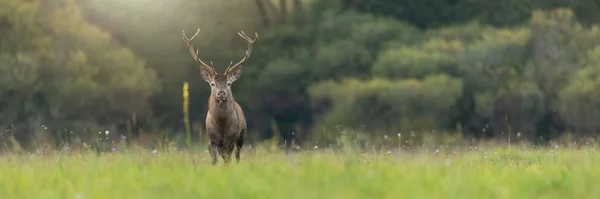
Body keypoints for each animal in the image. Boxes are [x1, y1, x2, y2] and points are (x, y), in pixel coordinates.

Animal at [182, 28, 258, 165]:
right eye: (212, 83)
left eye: (229, 83)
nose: (221, 93)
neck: (221, 124)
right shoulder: (211, 140)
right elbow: (215, 160)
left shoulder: (231, 139)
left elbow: (228, 159)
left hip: (241, 136)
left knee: (237, 156)